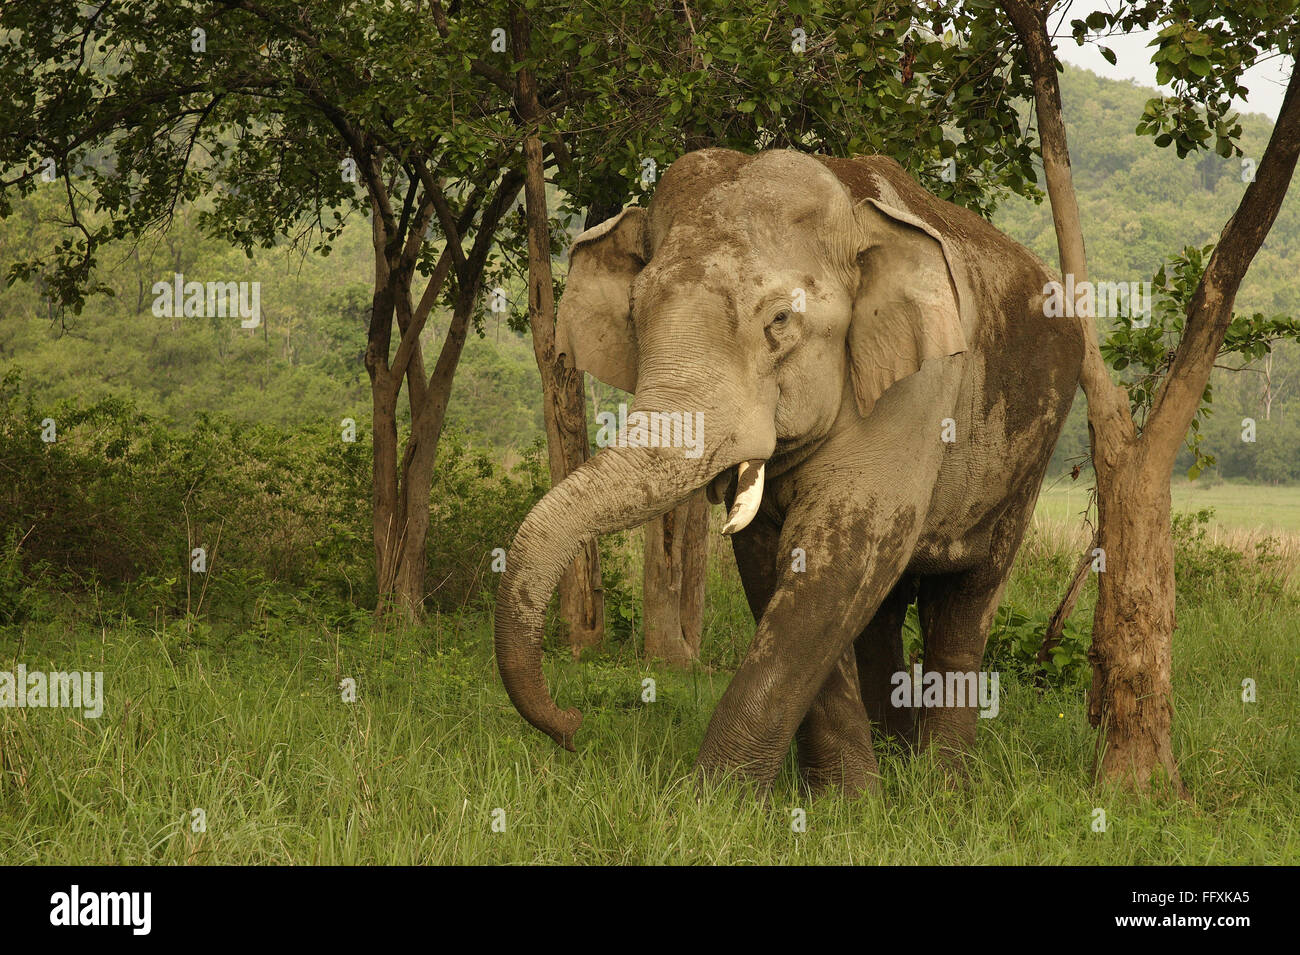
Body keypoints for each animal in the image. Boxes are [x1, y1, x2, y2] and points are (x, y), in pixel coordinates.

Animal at [491, 147, 1081, 789]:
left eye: (779, 321)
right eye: (634, 315)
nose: (572, 727)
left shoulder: (918, 391)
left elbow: (843, 557)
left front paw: (716, 797)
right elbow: (771, 559)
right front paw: (844, 800)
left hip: (1031, 450)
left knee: (966, 600)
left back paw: (941, 785)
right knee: (885, 611)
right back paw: (896, 763)